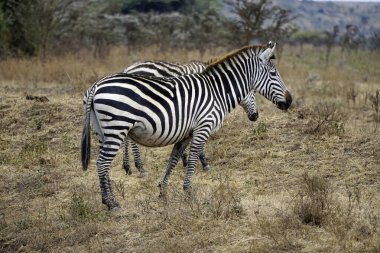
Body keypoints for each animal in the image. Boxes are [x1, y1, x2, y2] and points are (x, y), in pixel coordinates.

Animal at [120, 60, 260, 175]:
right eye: (253, 91)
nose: (255, 116)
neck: (215, 84)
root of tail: (128, 68)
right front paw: (203, 163)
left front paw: (185, 159)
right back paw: (139, 167)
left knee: (127, 136)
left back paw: (127, 167)